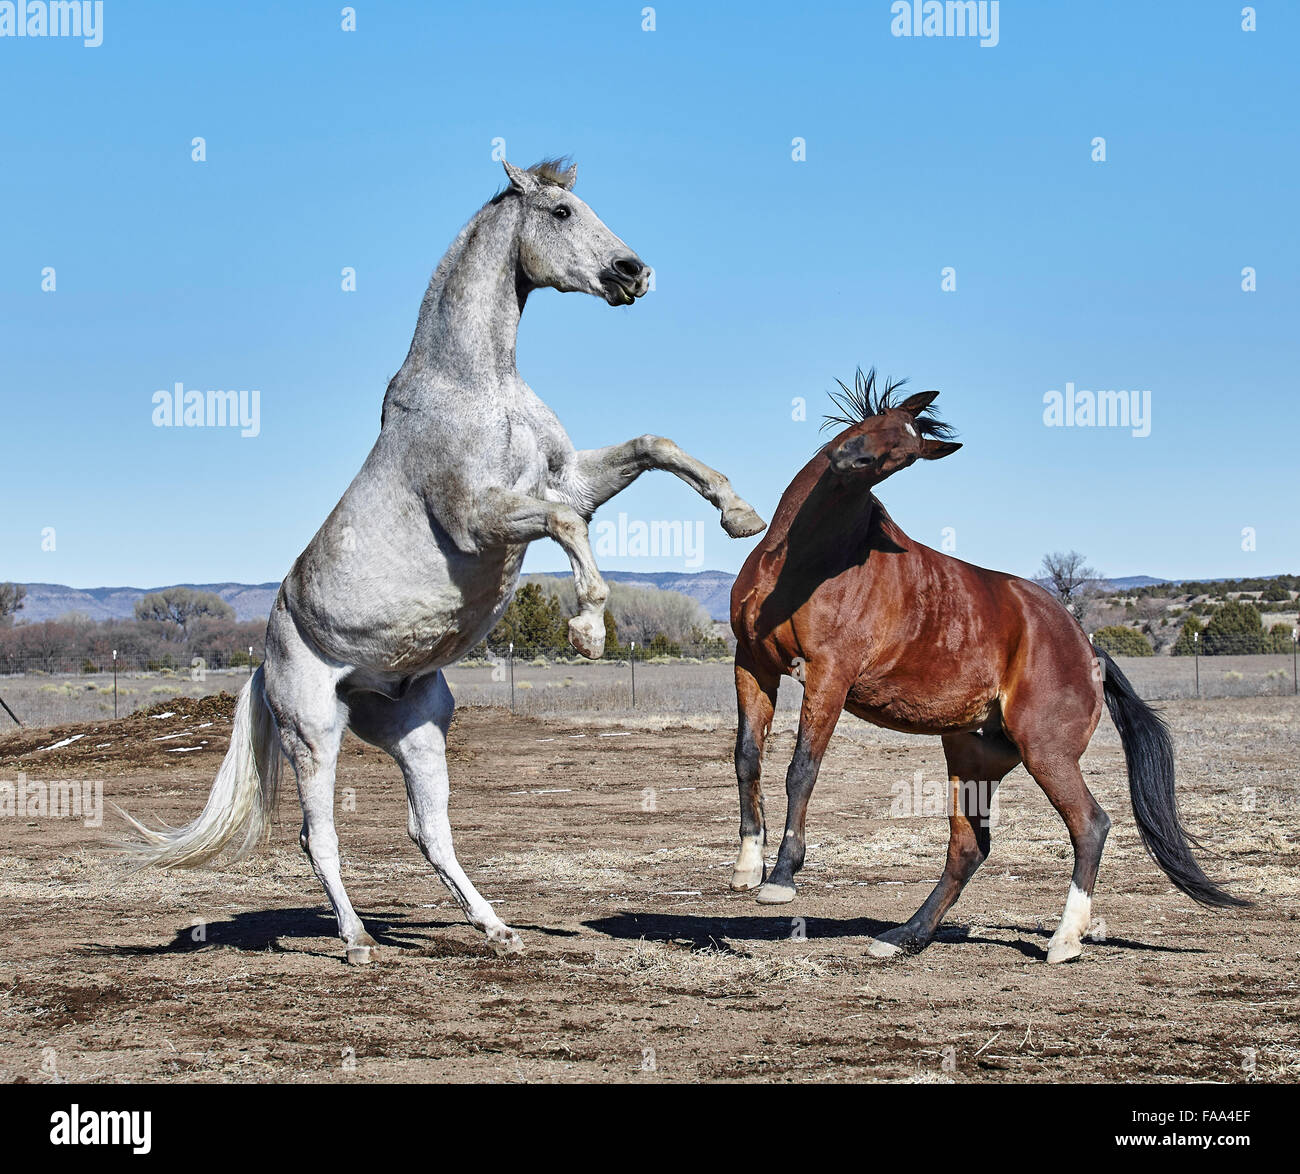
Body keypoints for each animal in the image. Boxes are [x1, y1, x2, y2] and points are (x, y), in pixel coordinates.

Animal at [120, 158, 767, 963]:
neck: (474, 384)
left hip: (420, 727)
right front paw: (589, 627)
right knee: (317, 837)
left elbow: (655, 445)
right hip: (314, 733)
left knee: (428, 830)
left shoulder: (568, 479)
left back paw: (495, 927)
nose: (633, 272)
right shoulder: (482, 518)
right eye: (560, 212)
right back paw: (357, 940)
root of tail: (263, 662)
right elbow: (565, 526)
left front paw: (740, 513)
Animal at [728, 368, 1245, 964]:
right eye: (878, 422)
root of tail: (1087, 649)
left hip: (1045, 752)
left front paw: (780, 879)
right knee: (969, 846)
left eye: (905, 455)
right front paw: (747, 867)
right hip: (973, 754)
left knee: (1090, 825)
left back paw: (1064, 941)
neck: (805, 560)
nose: (850, 461)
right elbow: (747, 757)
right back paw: (904, 937)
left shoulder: (829, 675)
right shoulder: (752, 664)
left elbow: (801, 770)